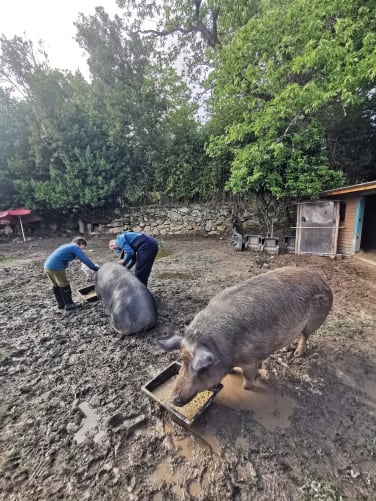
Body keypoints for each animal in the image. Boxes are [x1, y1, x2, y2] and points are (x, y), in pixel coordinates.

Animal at [157, 266, 334, 406]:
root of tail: (323, 280)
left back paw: (297, 354)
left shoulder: (251, 359)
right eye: (182, 360)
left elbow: (248, 377)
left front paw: (247, 387)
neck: (224, 349)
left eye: (202, 369)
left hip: (315, 320)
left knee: (305, 336)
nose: (173, 400)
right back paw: (285, 351)